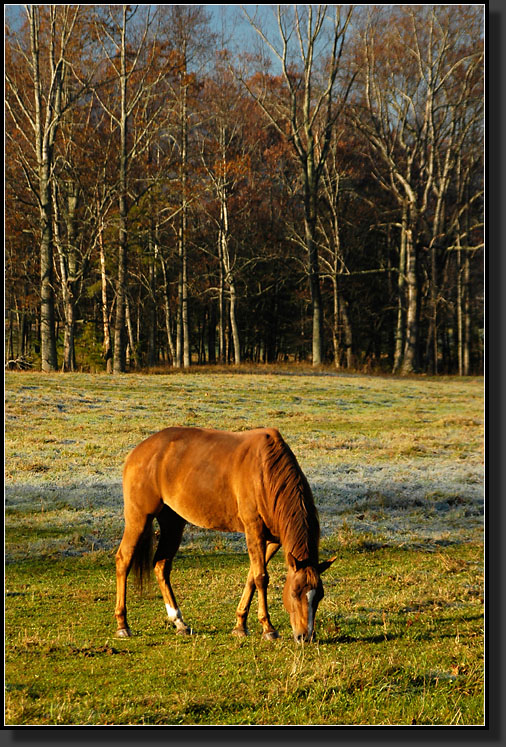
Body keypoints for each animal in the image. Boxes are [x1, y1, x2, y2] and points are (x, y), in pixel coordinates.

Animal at [114, 426, 336, 644]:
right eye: (294, 593)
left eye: (319, 596)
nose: (305, 636)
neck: (266, 473)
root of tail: (138, 452)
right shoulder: (253, 530)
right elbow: (261, 577)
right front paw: (268, 628)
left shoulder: (274, 540)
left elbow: (252, 577)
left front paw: (240, 625)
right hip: (139, 518)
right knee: (124, 560)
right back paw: (123, 624)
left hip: (173, 523)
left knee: (161, 566)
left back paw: (179, 622)